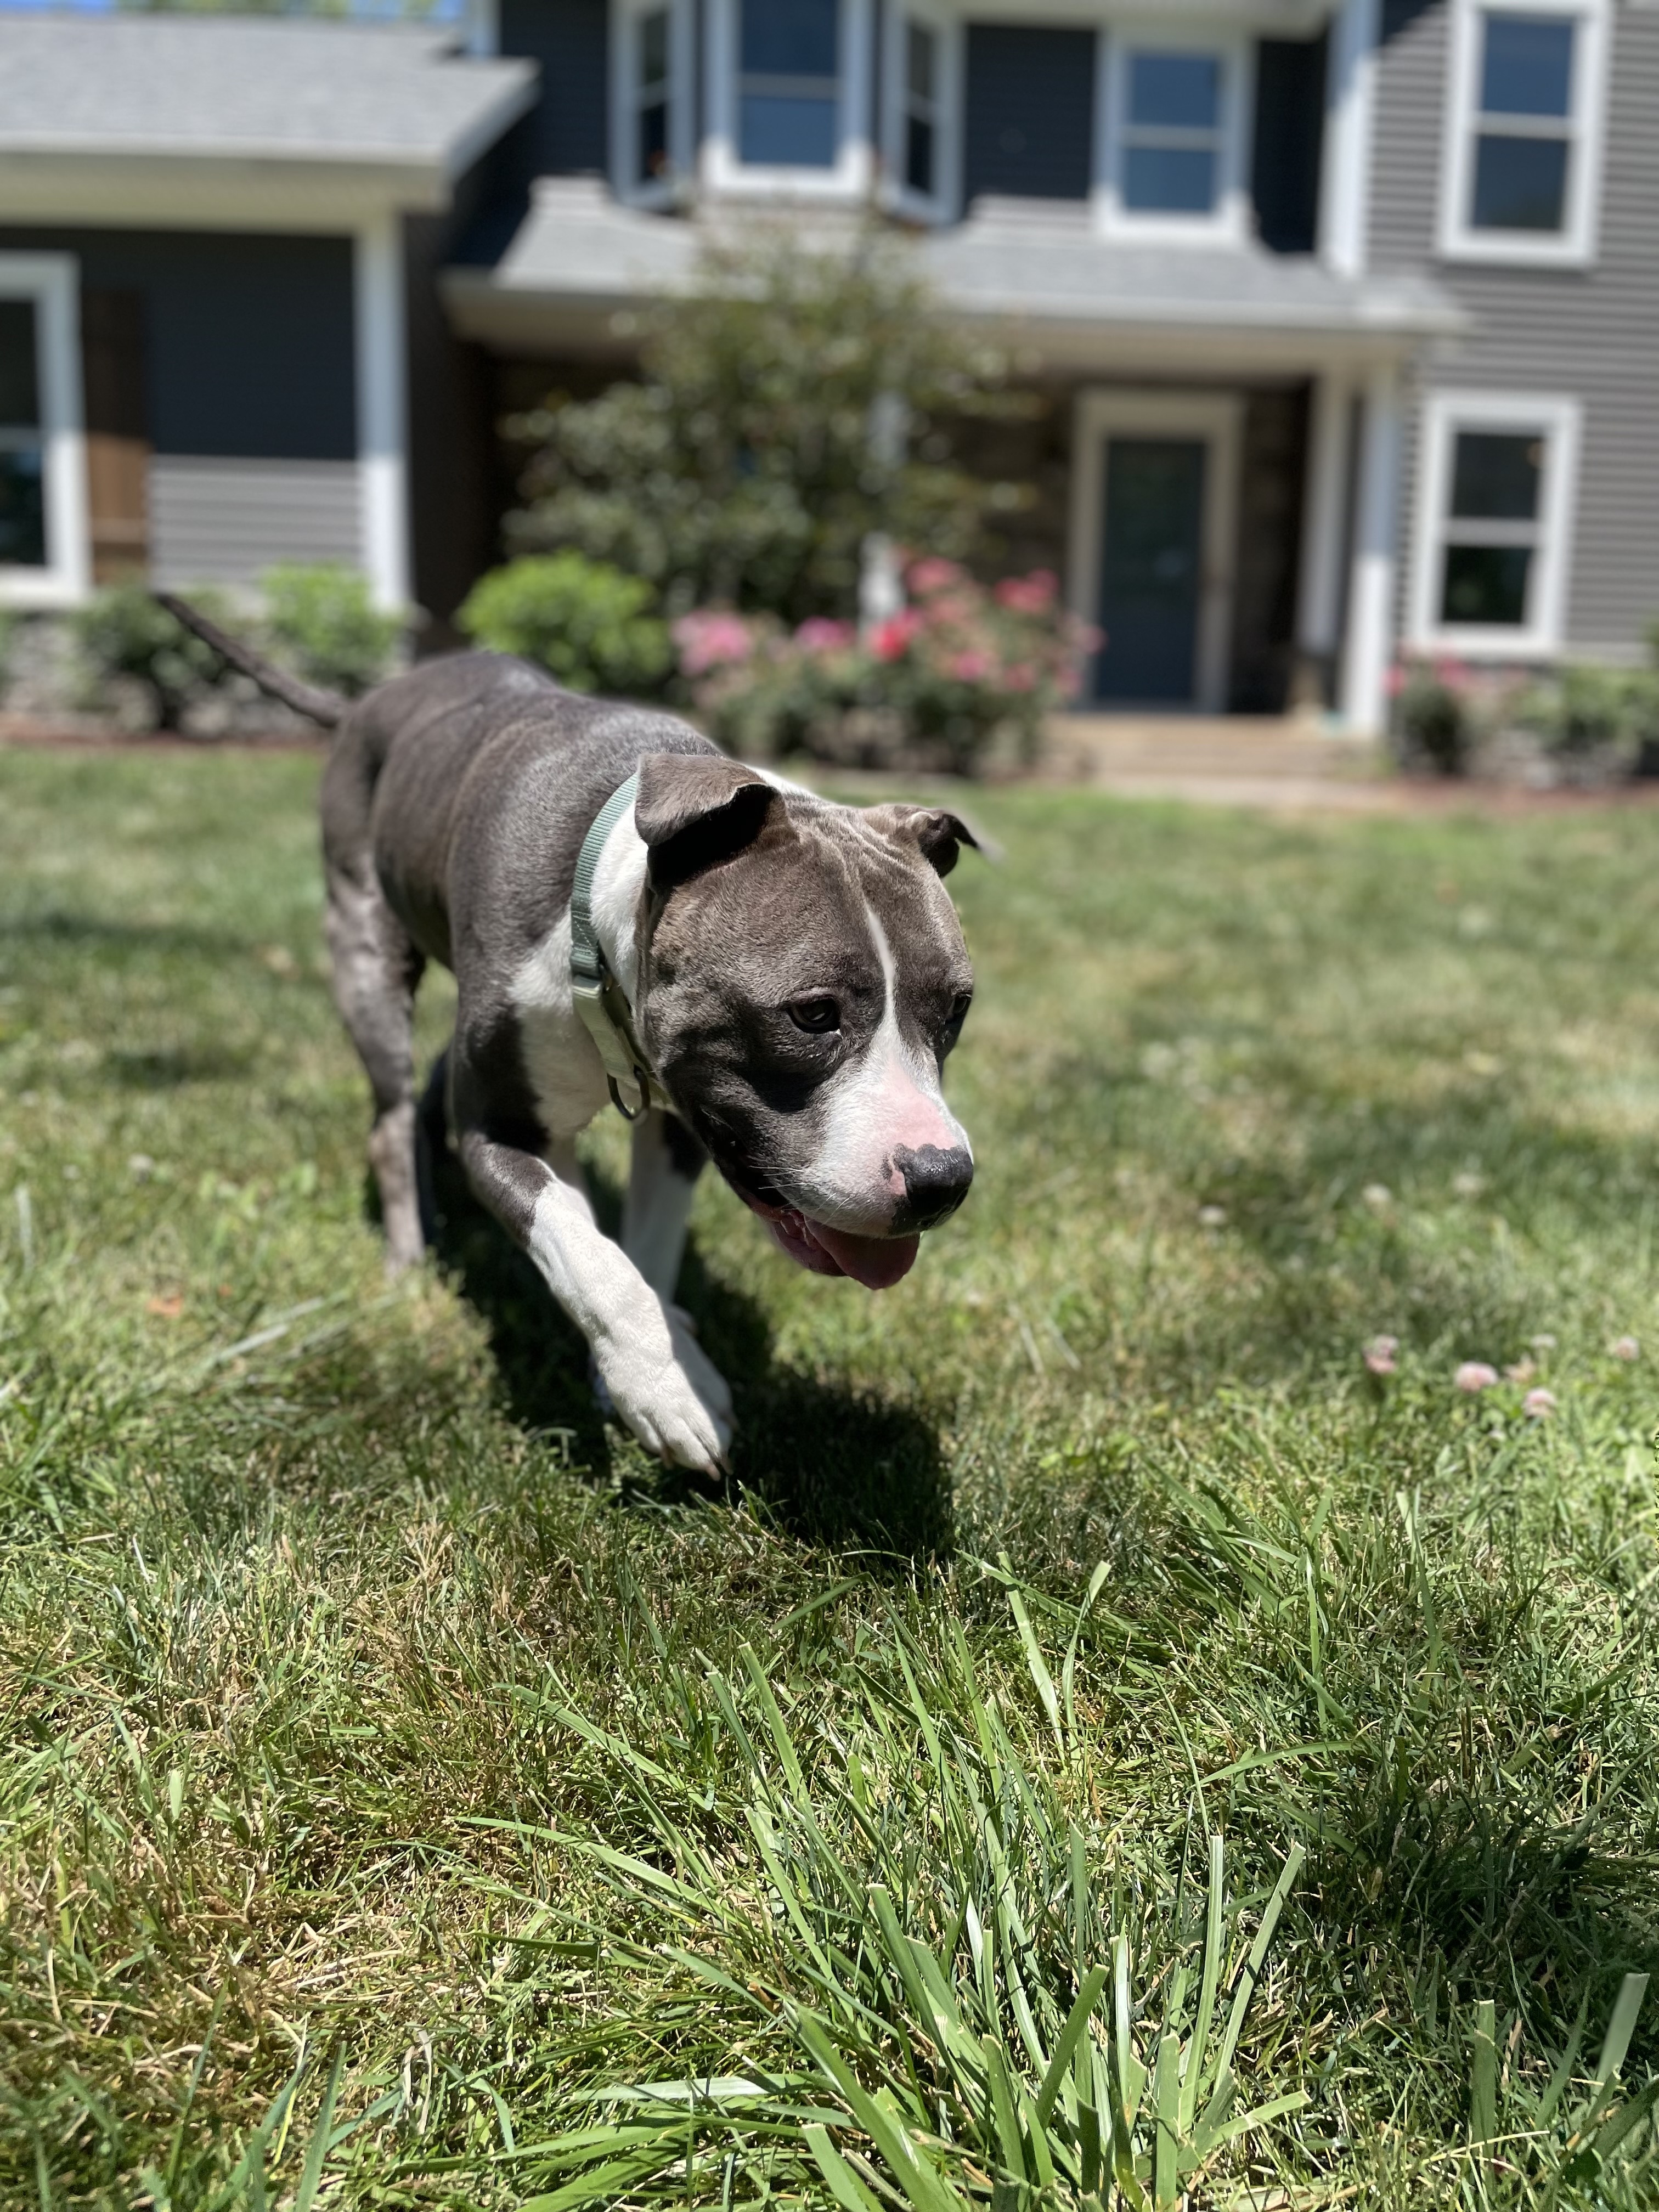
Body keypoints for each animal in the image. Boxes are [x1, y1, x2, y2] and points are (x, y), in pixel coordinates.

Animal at [159, 597, 973, 1477]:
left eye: (957, 1011)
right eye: (813, 1014)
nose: (942, 1180)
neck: (599, 932)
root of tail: (370, 699)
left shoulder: (681, 1128)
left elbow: (642, 1248)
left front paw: (643, 1366)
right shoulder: (496, 1131)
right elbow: (588, 1256)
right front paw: (669, 1388)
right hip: (365, 948)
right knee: (392, 1115)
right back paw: (411, 1255)